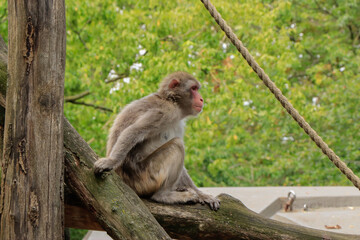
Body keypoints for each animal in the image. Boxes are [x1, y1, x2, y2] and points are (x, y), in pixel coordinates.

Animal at [93, 71, 219, 210]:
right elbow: (134, 131)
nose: (201, 99)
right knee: (177, 145)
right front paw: (110, 161)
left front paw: (202, 194)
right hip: (145, 178)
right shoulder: (165, 112)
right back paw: (163, 196)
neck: (172, 101)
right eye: (193, 88)